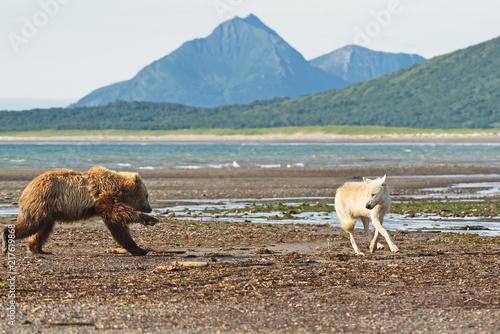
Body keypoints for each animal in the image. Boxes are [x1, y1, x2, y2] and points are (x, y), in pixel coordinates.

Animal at [1, 166, 158, 256]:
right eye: (147, 195)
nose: (150, 209)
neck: (117, 187)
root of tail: (28, 187)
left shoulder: (103, 203)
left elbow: (117, 226)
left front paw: (139, 249)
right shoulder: (102, 195)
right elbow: (118, 213)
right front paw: (151, 220)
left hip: (48, 211)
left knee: (43, 229)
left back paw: (38, 249)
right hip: (41, 202)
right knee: (31, 224)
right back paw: (6, 239)